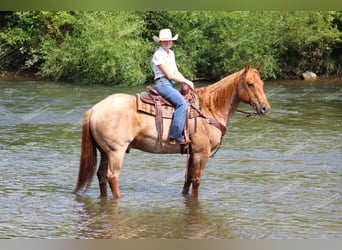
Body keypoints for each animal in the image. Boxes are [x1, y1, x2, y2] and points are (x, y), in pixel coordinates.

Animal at [73, 63, 272, 199]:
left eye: (262, 83)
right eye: (250, 84)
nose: (264, 108)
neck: (209, 108)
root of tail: (95, 109)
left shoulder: (192, 152)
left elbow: (188, 179)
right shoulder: (202, 153)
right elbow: (196, 181)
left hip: (104, 151)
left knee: (101, 176)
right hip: (116, 151)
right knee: (112, 176)